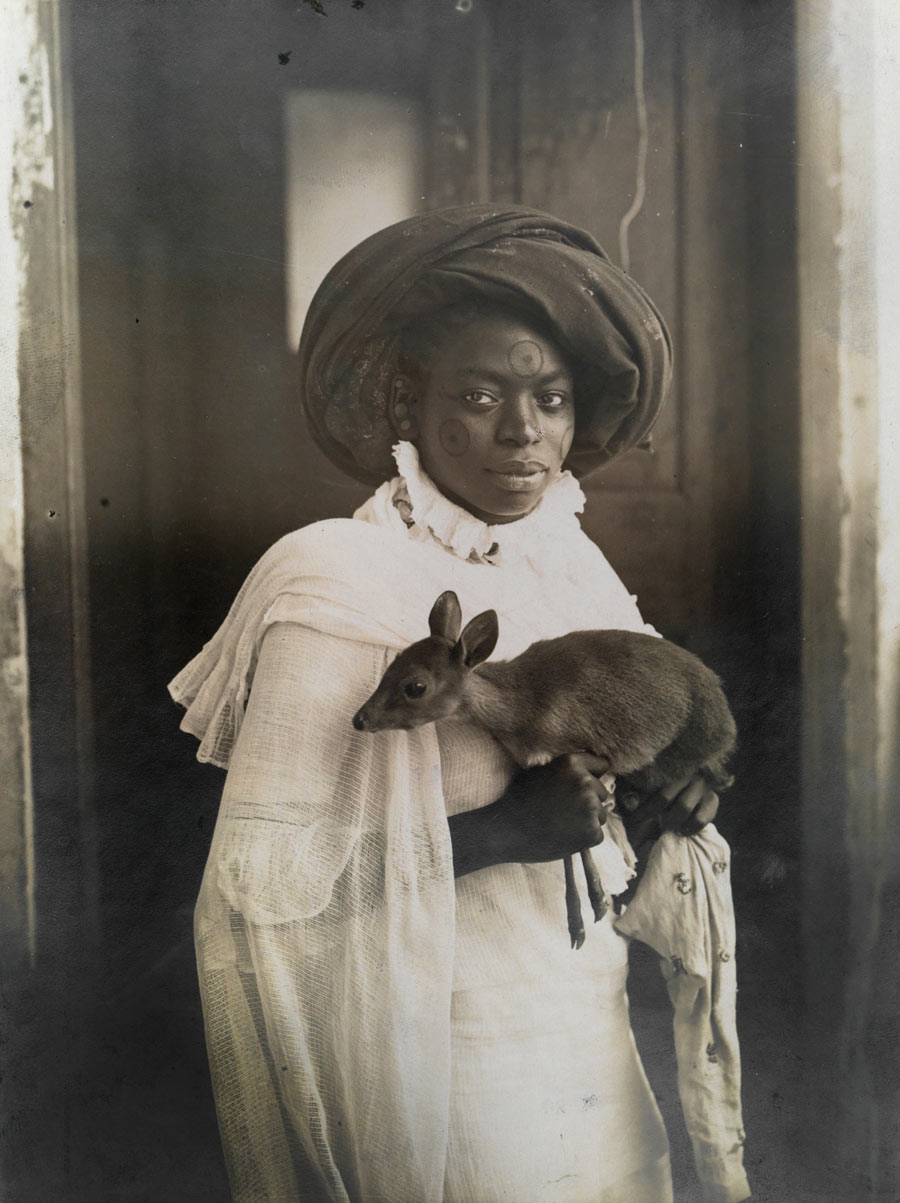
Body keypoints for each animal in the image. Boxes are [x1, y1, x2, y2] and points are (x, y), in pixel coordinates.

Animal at [348, 591, 736, 947]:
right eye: (392, 664)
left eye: (416, 686)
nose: (360, 718)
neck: (522, 711)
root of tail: (727, 721)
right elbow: (569, 846)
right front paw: (583, 915)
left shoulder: (586, 755)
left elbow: (582, 843)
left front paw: (593, 904)